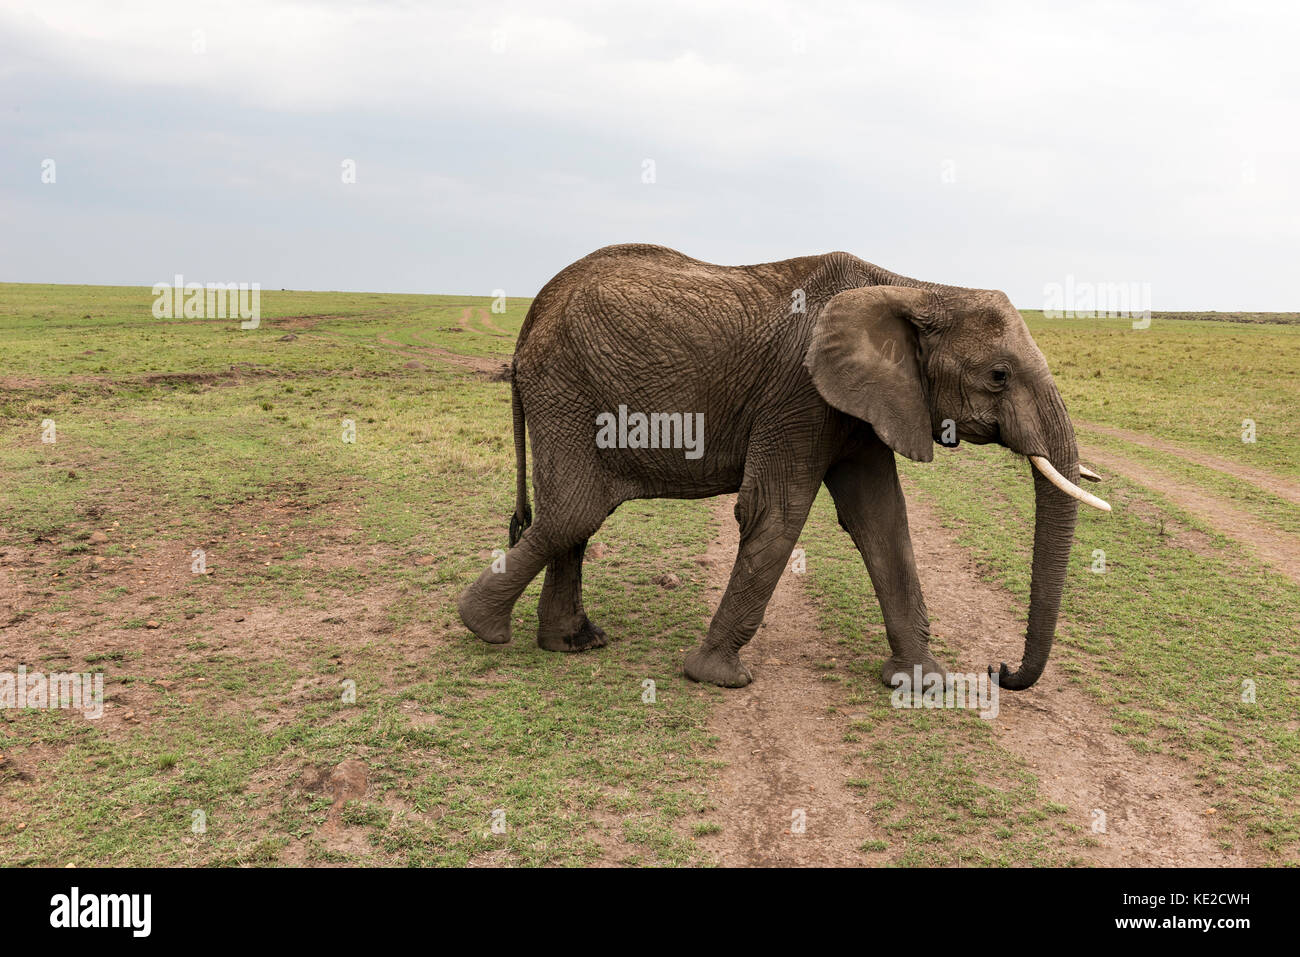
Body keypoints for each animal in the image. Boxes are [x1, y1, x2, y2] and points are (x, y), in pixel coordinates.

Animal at [457, 239, 1107, 686]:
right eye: (998, 376)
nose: (1002, 671)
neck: (914, 288)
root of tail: (532, 315)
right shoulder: (800, 394)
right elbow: (776, 511)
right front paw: (717, 677)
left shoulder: (863, 402)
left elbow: (882, 520)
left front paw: (922, 683)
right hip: (565, 390)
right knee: (575, 511)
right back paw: (483, 628)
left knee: (574, 518)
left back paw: (572, 643)